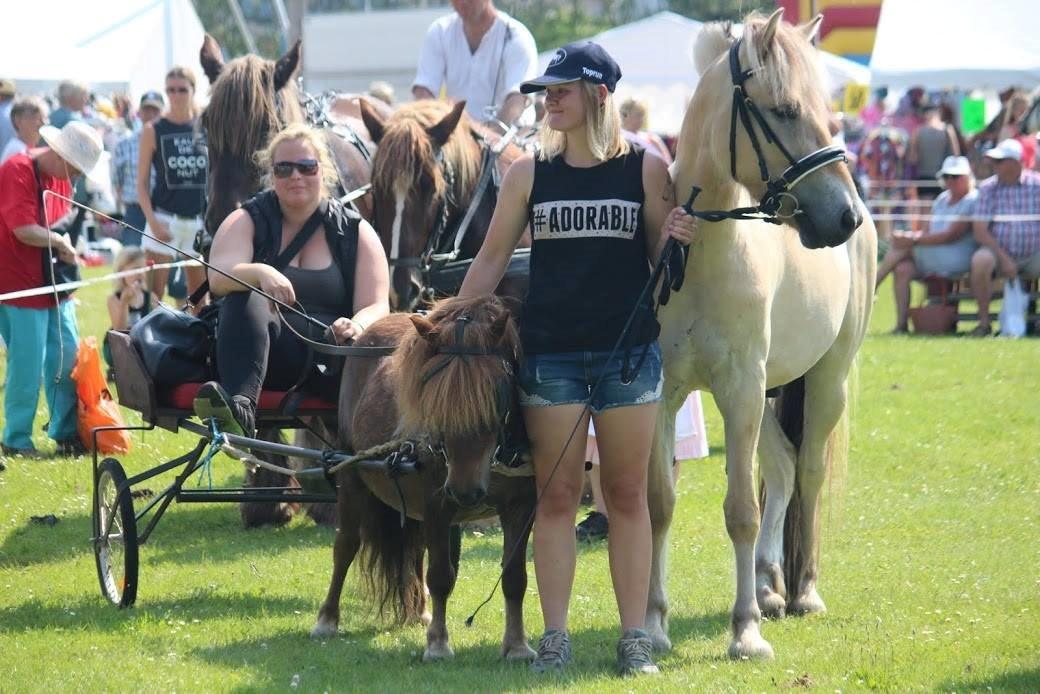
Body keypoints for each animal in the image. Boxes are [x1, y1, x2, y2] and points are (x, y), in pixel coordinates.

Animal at [309, 293, 536, 661]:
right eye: (433, 398)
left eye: (497, 391)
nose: (465, 491)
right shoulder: (436, 504)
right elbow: (441, 575)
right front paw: (438, 643)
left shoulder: (521, 505)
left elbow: (514, 576)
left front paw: (517, 645)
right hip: (352, 477)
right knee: (346, 546)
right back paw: (327, 619)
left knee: (413, 550)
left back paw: (420, 611)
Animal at [648, 10, 877, 661]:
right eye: (785, 110)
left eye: (829, 112)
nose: (844, 216)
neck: (703, 255)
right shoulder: (664, 396)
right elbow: (660, 506)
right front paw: (653, 624)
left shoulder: (742, 391)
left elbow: (741, 512)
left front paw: (745, 630)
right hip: (770, 393)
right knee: (780, 468)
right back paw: (771, 582)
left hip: (823, 382)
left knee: (808, 473)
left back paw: (801, 592)